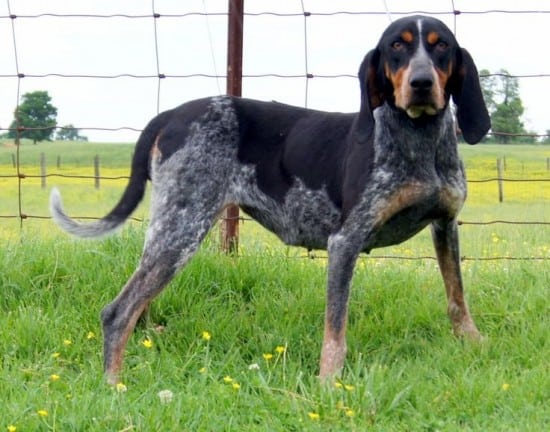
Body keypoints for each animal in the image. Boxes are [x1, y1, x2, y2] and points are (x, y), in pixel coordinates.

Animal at [50, 15, 492, 384]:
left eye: (441, 46)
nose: (421, 83)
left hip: (171, 231)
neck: (419, 140)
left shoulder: (445, 225)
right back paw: (114, 387)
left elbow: (457, 298)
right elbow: (335, 331)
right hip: (181, 230)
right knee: (117, 313)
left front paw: (474, 346)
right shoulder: (345, 242)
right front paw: (328, 384)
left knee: (136, 305)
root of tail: (172, 113)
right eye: (396, 46)